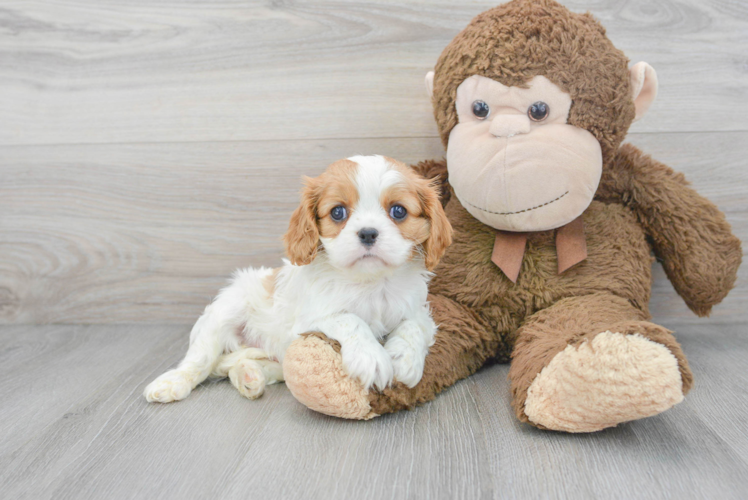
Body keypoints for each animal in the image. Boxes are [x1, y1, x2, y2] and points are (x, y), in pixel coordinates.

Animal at [145, 154, 450, 404]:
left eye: (398, 211)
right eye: (337, 212)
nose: (368, 233)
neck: (371, 282)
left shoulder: (418, 308)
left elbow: (415, 326)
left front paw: (404, 359)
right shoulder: (308, 321)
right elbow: (350, 319)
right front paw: (371, 357)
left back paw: (249, 375)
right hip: (222, 314)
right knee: (201, 360)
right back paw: (173, 382)